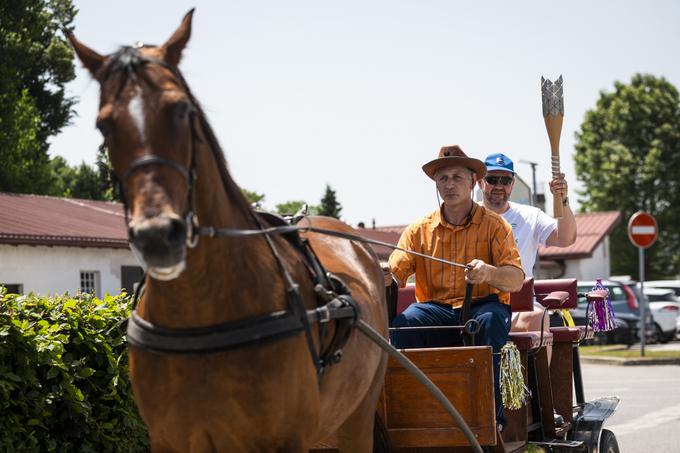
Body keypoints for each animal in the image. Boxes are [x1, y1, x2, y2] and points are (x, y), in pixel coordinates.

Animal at [69, 10, 388, 452]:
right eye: (104, 126)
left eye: (182, 110)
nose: (158, 237)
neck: (202, 316)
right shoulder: (170, 440)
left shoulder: (286, 440)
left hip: (357, 419)